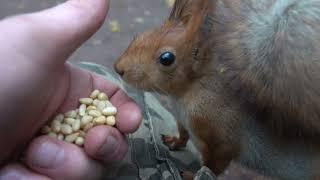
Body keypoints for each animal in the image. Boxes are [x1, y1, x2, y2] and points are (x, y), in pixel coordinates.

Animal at [114, 0, 320, 179]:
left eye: (167, 58)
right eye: (140, 36)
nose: (118, 68)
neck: (184, 95)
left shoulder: (221, 134)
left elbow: (214, 164)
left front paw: (190, 175)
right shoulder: (181, 120)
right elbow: (184, 135)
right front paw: (175, 141)